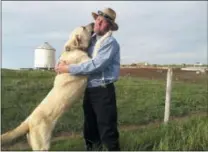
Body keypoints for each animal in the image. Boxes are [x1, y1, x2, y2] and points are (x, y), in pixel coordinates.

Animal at [0, 22, 112, 151]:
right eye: (84, 27)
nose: (93, 23)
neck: (73, 49)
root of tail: (28, 121)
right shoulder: (90, 61)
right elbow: (98, 45)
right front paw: (108, 34)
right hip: (42, 146)